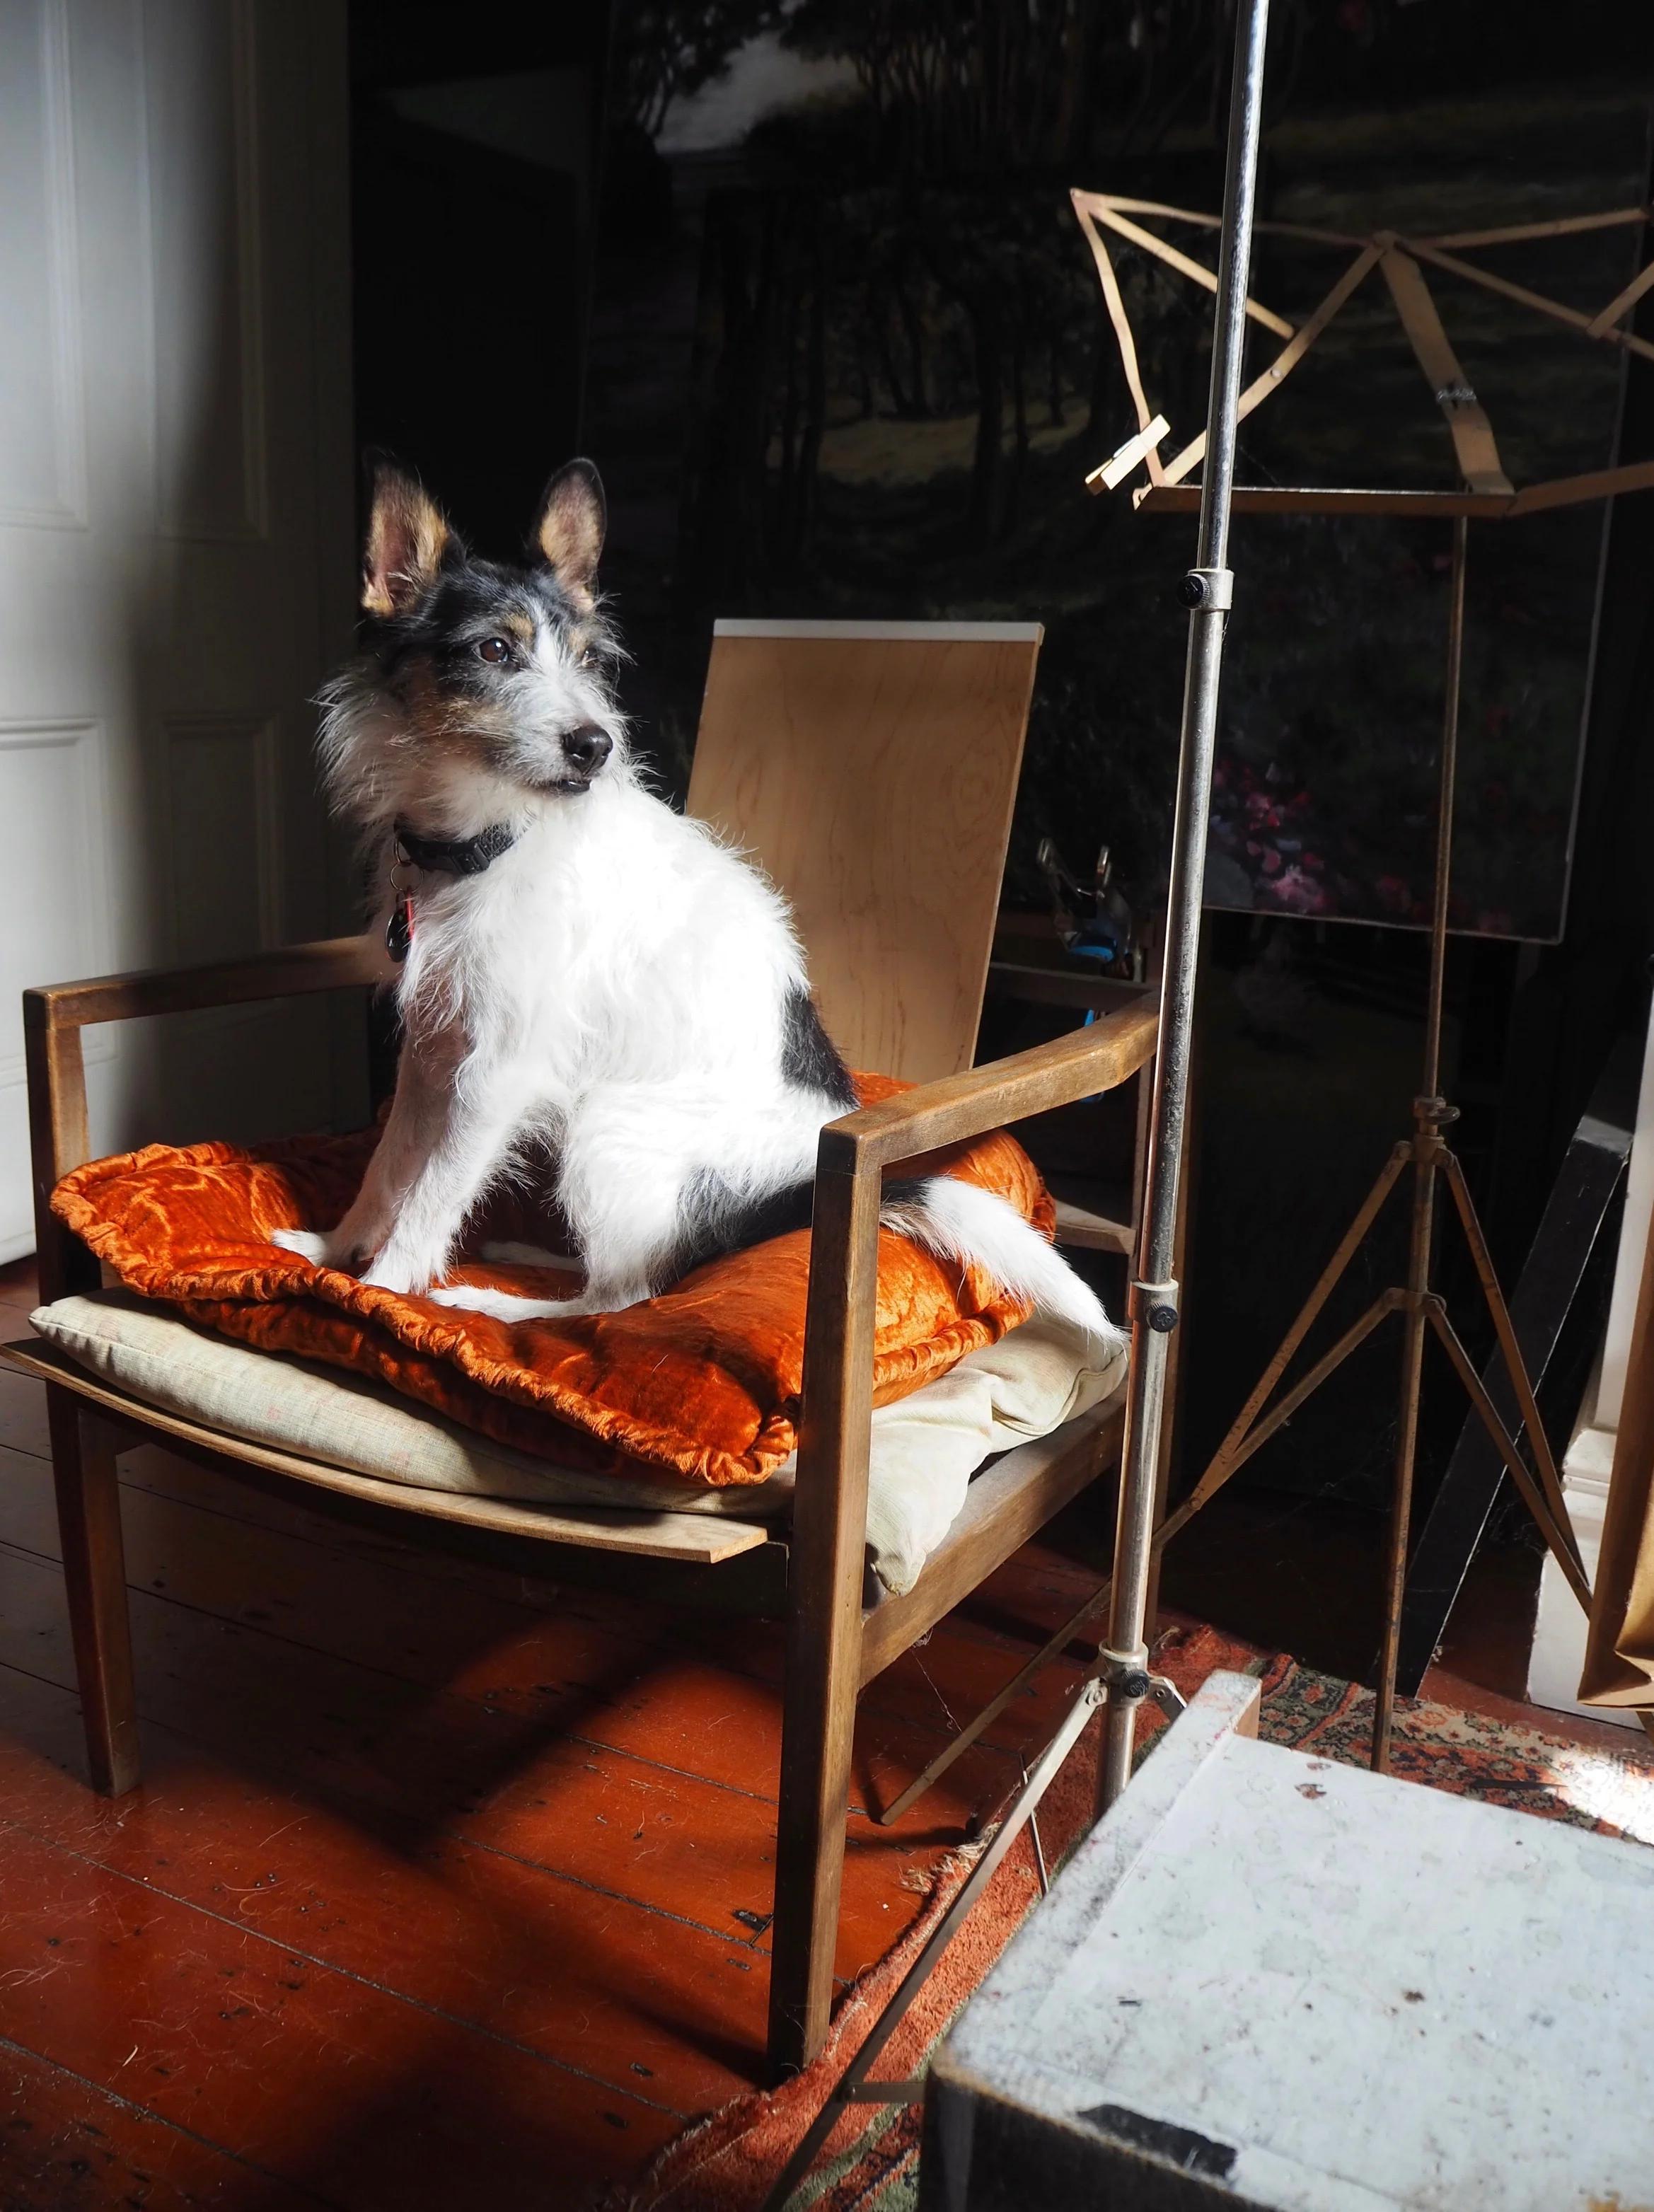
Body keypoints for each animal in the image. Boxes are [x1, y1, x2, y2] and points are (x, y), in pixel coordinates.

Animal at [270, 456, 1118, 1345]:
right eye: (494, 649)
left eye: (588, 659)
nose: (595, 746)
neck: (486, 841)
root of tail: (791, 1199)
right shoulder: (432, 1056)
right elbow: (389, 1165)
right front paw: (333, 1247)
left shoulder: (495, 1075)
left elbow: (431, 1195)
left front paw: (382, 1288)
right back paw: (533, 1257)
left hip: (603, 1126)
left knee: (625, 1293)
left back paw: (500, 1300)